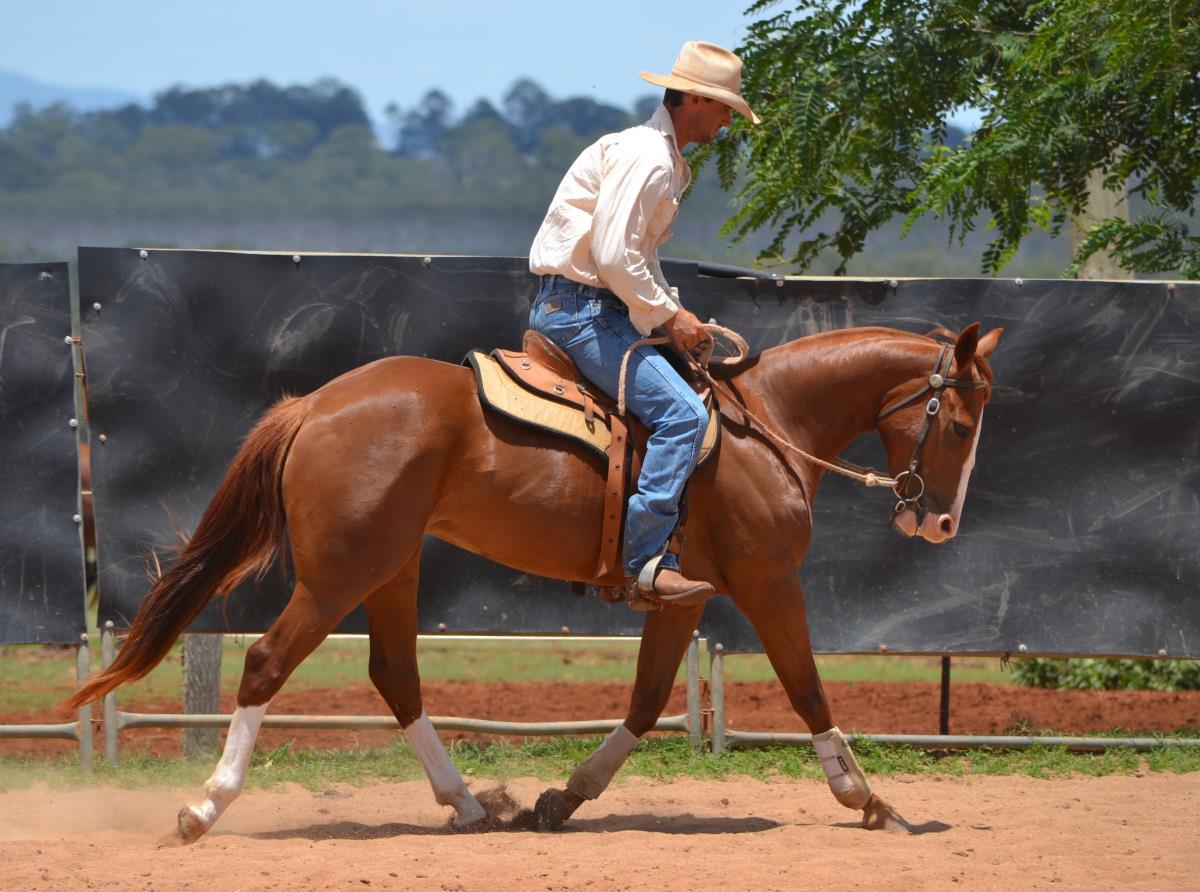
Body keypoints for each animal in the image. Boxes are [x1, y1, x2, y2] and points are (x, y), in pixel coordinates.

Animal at [66, 320, 1001, 840]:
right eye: (958, 422)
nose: (941, 525)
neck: (764, 427)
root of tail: (314, 405)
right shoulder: (771, 583)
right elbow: (807, 689)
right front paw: (868, 798)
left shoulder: (680, 594)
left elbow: (647, 700)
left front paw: (565, 797)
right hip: (340, 575)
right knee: (267, 663)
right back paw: (203, 809)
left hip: (391, 568)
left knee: (395, 675)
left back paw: (471, 805)